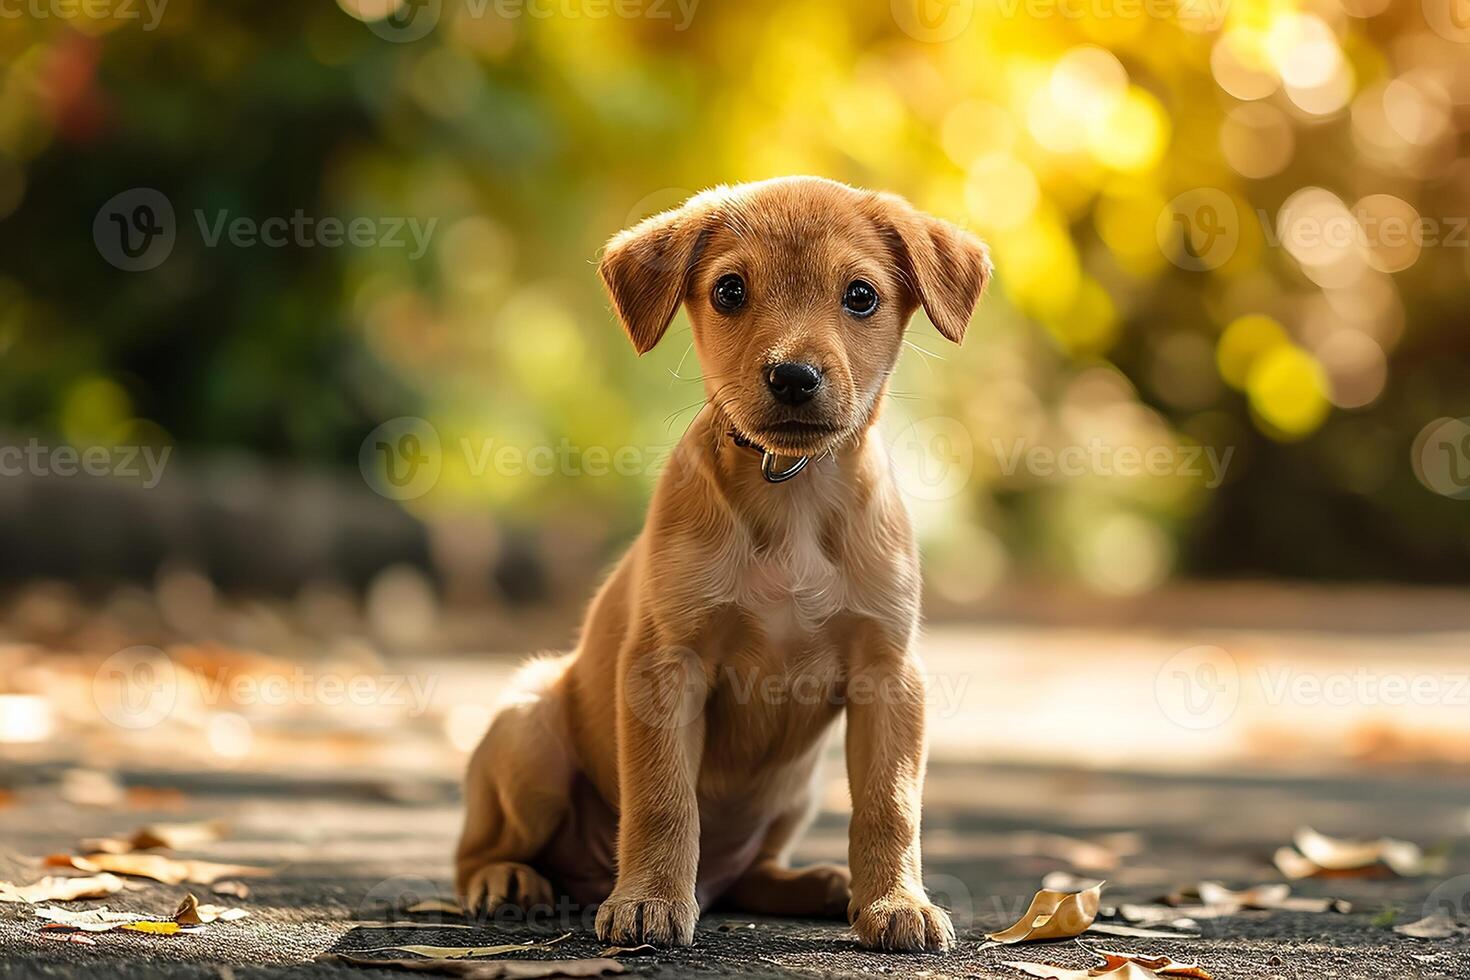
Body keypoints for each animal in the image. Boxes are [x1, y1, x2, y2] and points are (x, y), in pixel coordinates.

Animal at [455, 176, 987, 952]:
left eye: (861, 295)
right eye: (731, 290)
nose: (793, 376)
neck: (792, 491)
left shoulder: (889, 674)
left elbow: (889, 803)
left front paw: (896, 903)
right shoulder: (665, 666)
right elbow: (663, 799)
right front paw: (648, 900)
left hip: (794, 791)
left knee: (749, 874)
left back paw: (821, 885)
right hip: (528, 736)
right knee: (476, 850)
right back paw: (509, 880)